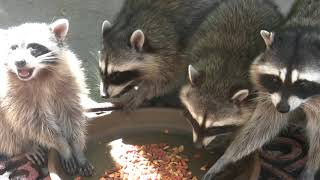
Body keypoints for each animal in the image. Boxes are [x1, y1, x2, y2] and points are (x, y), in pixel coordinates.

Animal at [0, 19, 94, 176]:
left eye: (34, 47)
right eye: (13, 48)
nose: (19, 62)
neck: (39, 75)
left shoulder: (69, 80)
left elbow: (72, 114)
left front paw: (76, 147)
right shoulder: (13, 96)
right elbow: (36, 124)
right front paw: (63, 146)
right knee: (6, 130)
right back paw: (26, 147)